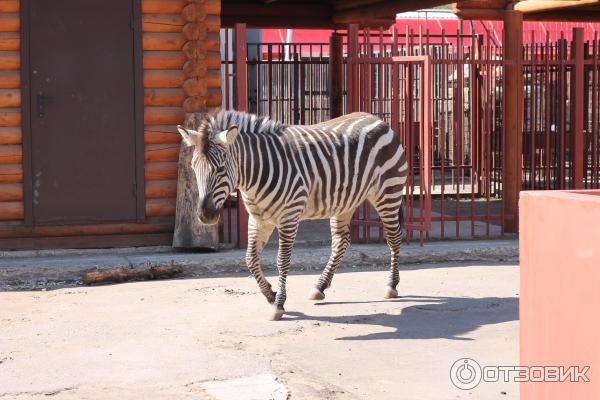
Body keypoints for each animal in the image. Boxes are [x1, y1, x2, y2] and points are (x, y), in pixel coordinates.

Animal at [177, 108, 408, 318]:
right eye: (193, 167)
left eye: (221, 169)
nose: (205, 215)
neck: (255, 174)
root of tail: (378, 119)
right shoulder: (258, 218)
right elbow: (250, 259)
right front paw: (270, 294)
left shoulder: (289, 216)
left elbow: (282, 259)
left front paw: (279, 304)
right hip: (346, 202)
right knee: (341, 241)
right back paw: (319, 287)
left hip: (388, 192)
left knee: (394, 237)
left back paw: (392, 285)